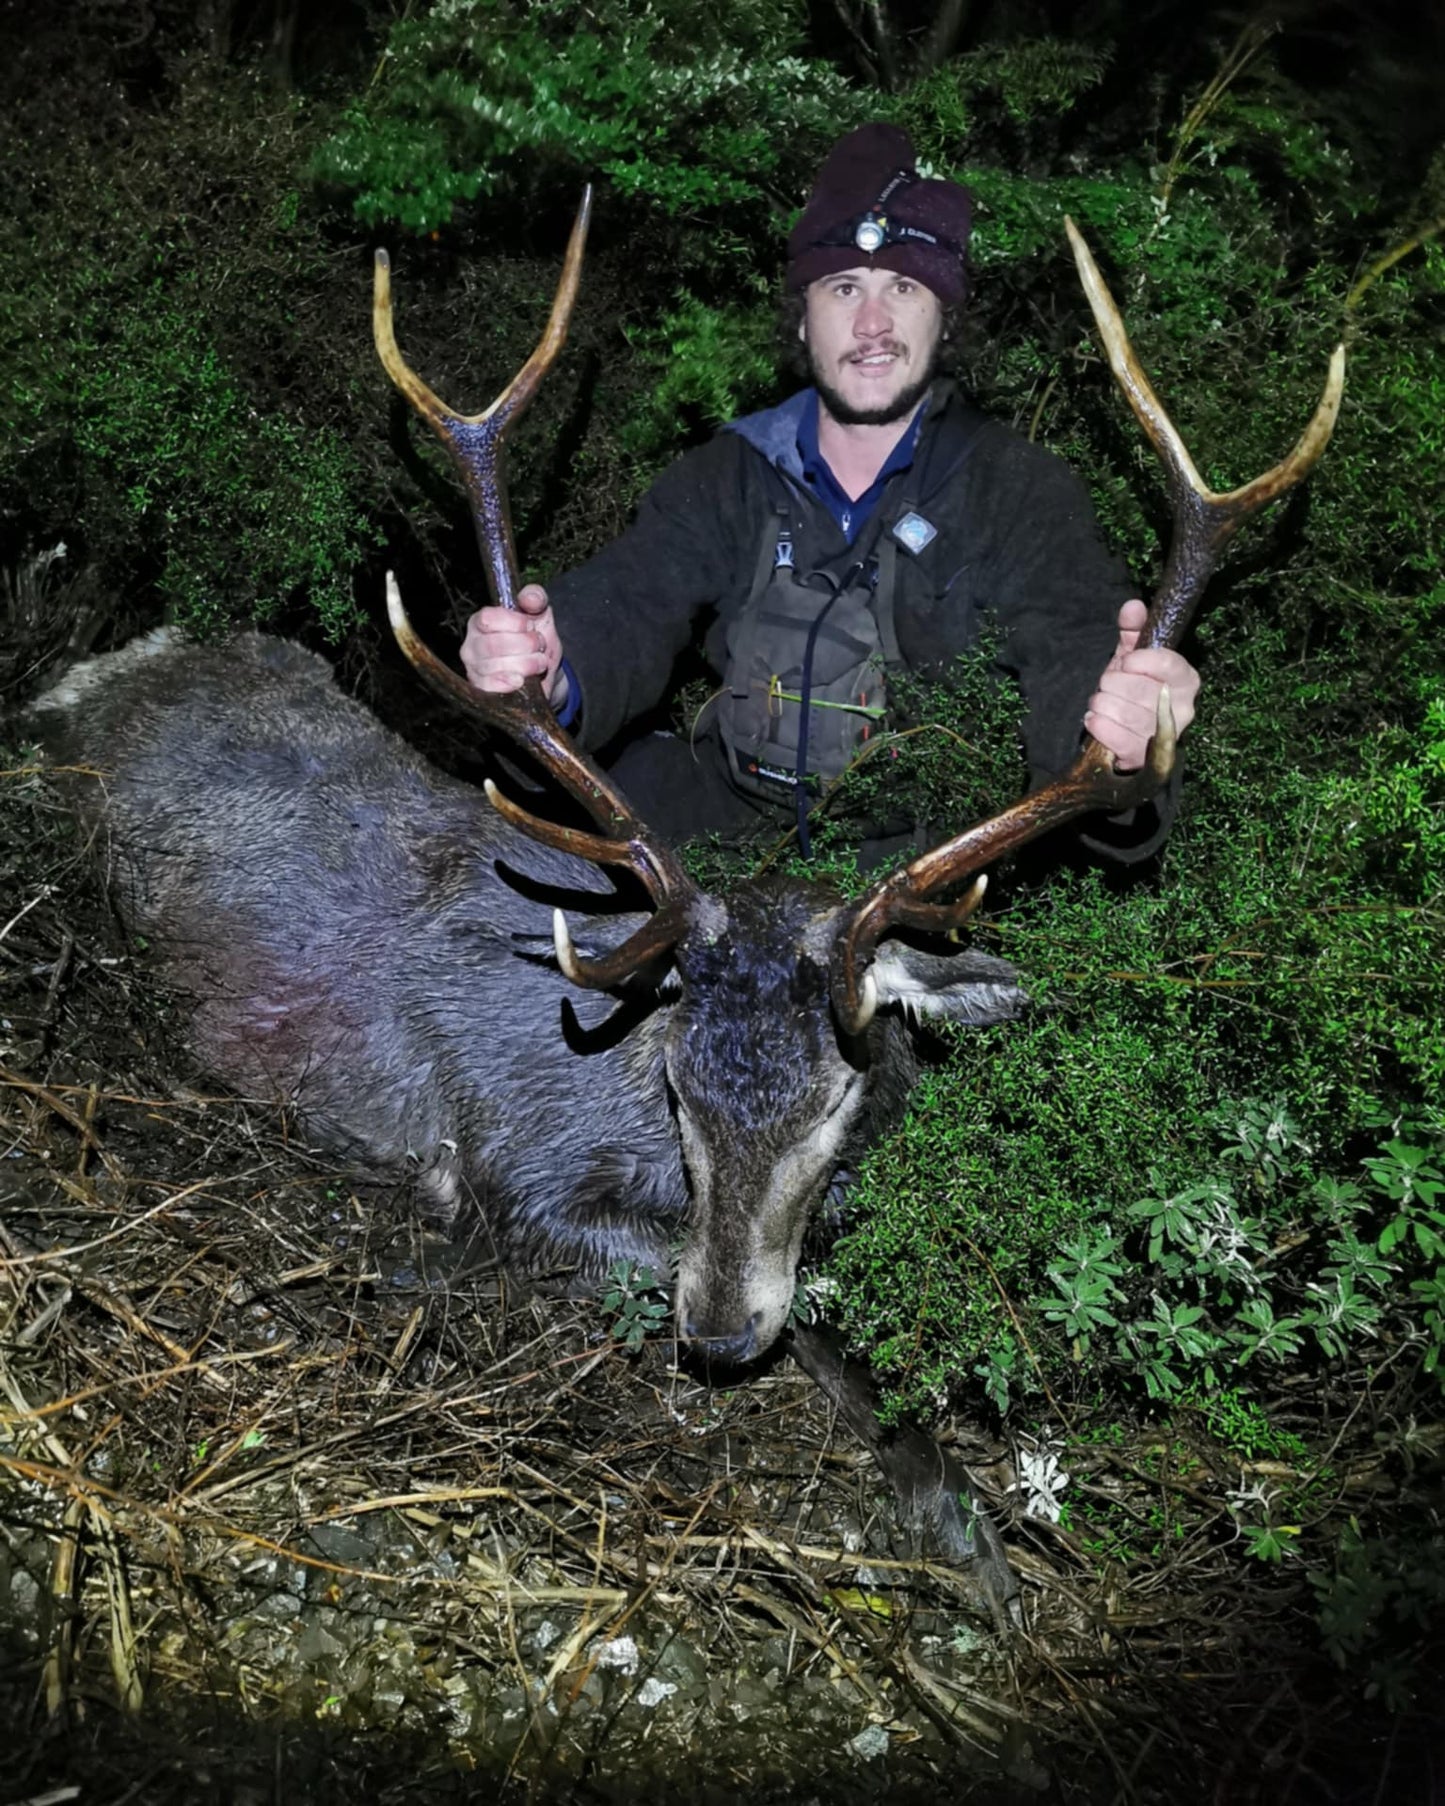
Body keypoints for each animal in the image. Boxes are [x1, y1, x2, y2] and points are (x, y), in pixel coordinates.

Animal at [27, 190, 1342, 1611]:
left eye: (834, 1100)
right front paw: (960, 1523)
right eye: (677, 1088)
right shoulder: (514, 1168)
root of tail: (92, 673)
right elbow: (783, 1301)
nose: (715, 1333)